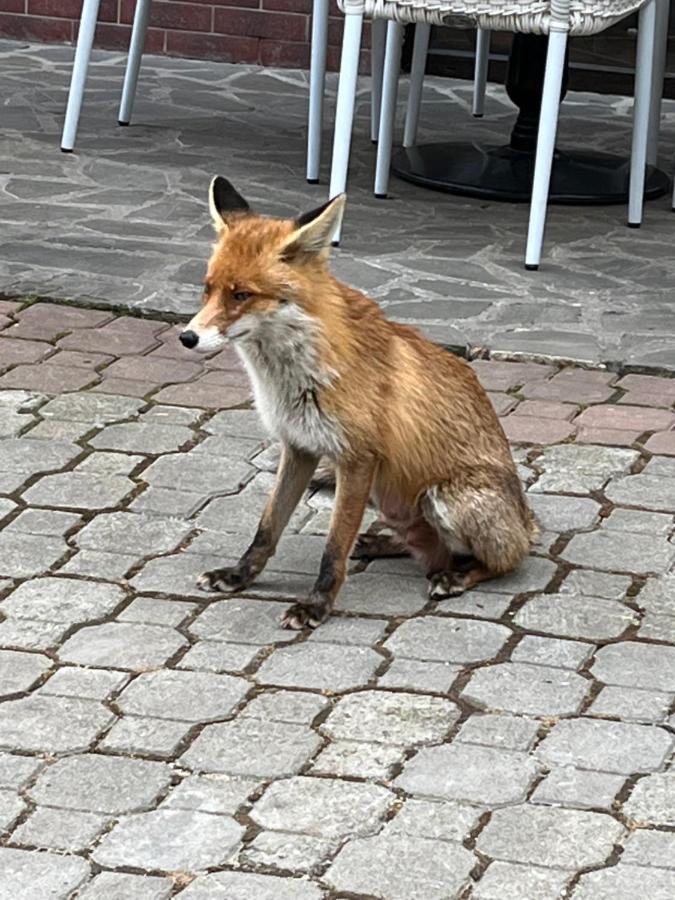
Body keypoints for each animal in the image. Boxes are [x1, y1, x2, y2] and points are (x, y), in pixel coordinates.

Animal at [181, 174, 540, 624]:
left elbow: (334, 547)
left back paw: (457, 576)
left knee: (501, 561)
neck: (295, 375)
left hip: (446, 498)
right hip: (386, 494)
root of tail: (528, 522)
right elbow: (268, 526)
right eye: (207, 290)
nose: (186, 337)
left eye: (241, 295)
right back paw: (384, 543)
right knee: (422, 542)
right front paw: (239, 575)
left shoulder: (357, 458)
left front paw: (316, 605)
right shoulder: (298, 447)